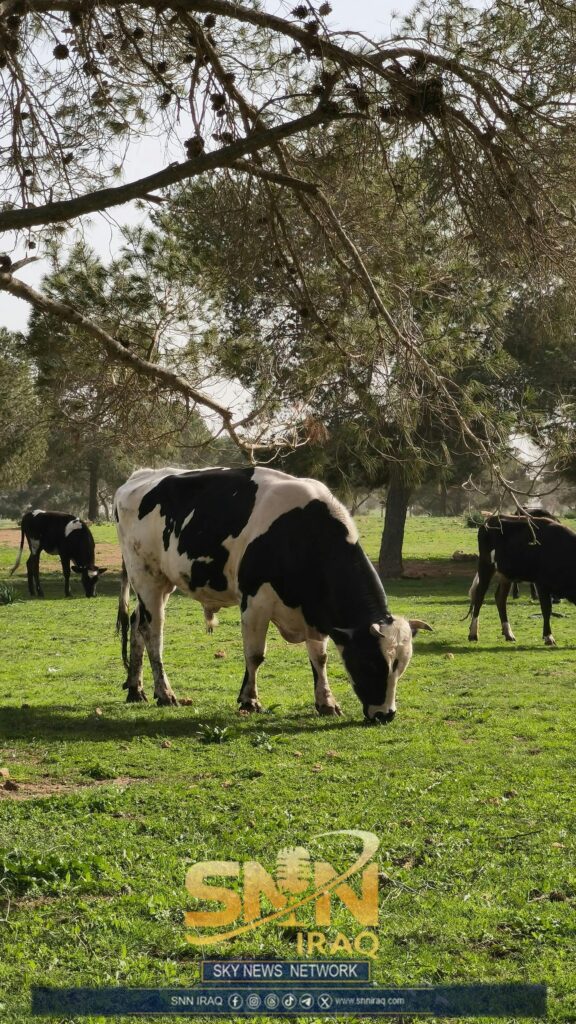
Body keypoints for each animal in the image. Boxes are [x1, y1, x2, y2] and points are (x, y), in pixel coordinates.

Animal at [114, 467, 432, 722]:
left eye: (401, 667)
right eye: (370, 663)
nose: (386, 715)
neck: (303, 534)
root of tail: (138, 476)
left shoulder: (314, 611)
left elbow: (320, 658)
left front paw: (326, 702)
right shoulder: (255, 602)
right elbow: (255, 655)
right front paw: (249, 700)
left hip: (160, 584)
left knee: (136, 624)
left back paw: (135, 689)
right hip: (147, 578)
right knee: (152, 633)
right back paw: (164, 693)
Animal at [467, 513, 576, 646]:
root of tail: (490, 520)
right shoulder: (541, 583)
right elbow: (546, 609)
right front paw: (548, 637)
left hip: (506, 574)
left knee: (500, 598)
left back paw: (509, 634)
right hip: (486, 565)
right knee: (479, 596)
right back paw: (473, 634)